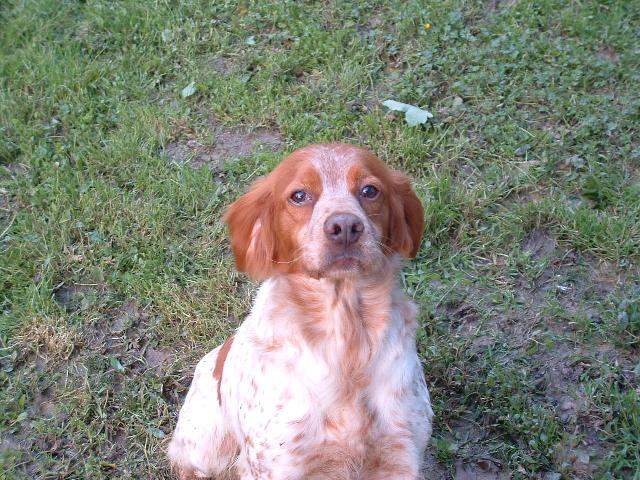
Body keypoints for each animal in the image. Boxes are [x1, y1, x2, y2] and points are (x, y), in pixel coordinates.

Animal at [168, 143, 433, 479]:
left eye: (370, 190)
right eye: (299, 195)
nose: (345, 227)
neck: (346, 342)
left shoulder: (400, 456)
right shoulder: (278, 464)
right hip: (205, 448)